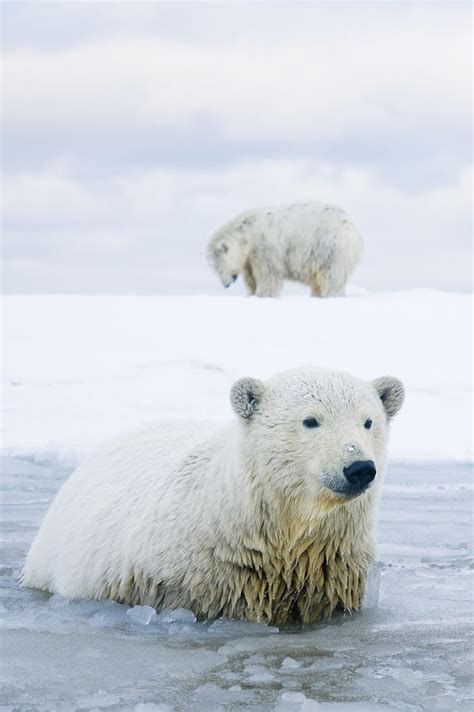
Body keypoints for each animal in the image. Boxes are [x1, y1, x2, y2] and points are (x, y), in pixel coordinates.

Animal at [206, 203, 362, 298]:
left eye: (219, 267)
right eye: (215, 268)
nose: (226, 285)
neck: (249, 231)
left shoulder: (264, 246)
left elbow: (269, 274)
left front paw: (264, 295)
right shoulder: (250, 257)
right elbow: (251, 278)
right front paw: (252, 294)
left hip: (331, 249)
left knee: (331, 277)